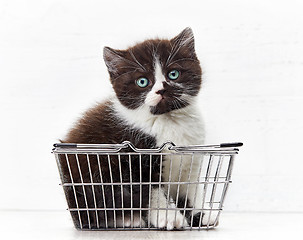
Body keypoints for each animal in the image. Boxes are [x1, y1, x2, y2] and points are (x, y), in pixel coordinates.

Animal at [60, 27, 215, 230]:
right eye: (142, 82)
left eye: (173, 74)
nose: (162, 90)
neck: (168, 120)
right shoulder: (136, 158)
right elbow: (151, 190)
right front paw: (168, 216)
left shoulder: (191, 158)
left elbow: (192, 188)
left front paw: (201, 214)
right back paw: (126, 219)